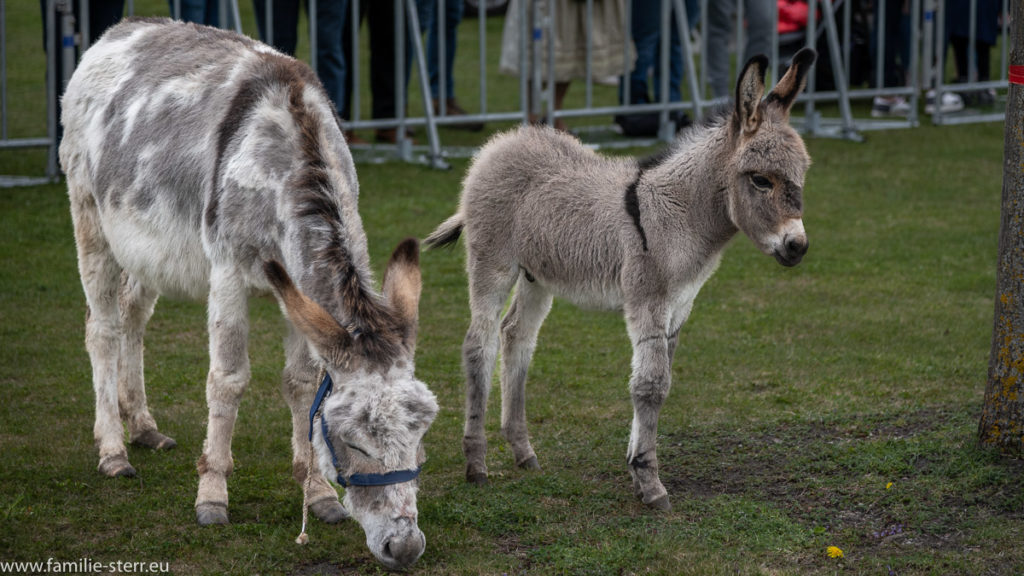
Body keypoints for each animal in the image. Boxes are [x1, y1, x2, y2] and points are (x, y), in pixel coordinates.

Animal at [59, 19, 436, 569]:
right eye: (354, 443)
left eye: (421, 435)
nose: (404, 548)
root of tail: (125, 27)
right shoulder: (229, 274)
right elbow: (228, 380)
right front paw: (212, 495)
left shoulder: (299, 290)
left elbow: (301, 383)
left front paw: (317, 494)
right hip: (90, 216)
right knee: (103, 328)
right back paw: (113, 450)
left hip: (146, 247)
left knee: (133, 316)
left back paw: (144, 426)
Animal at [423, 48, 815, 506]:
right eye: (760, 180)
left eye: (801, 176)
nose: (797, 246)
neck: (682, 215)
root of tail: (501, 143)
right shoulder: (648, 299)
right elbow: (651, 385)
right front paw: (649, 481)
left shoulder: (680, 306)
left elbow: (658, 381)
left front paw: (635, 459)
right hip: (493, 265)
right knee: (478, 345)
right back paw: (477, 464)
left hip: (537, 275)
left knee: (516, 336)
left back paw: (523, 451)